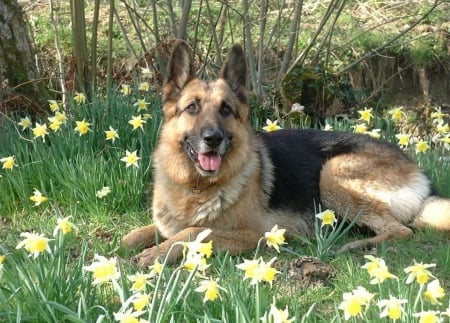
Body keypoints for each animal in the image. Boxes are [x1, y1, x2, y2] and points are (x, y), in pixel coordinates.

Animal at [123, 40, 450, 268]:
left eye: (225, 110)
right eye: (192, 107)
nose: (213, 139)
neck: (195, 186)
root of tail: (420, 177)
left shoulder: (253, 234)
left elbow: (193, 232)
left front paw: (156, 253)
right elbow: (139, 233)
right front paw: (130, 243)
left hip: (332, 173)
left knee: (401, 230)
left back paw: (356, 246)